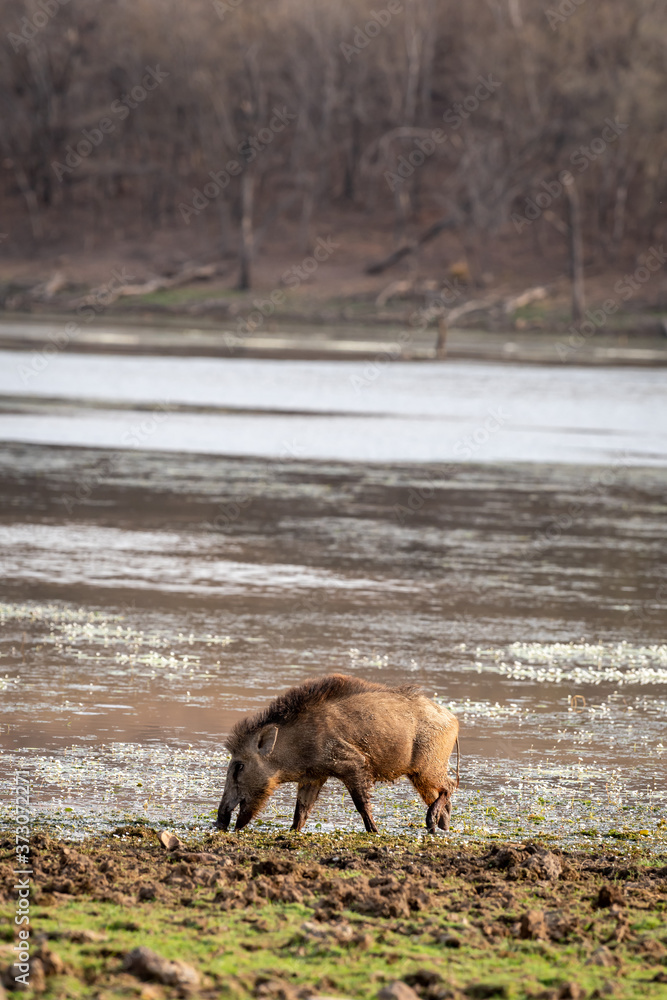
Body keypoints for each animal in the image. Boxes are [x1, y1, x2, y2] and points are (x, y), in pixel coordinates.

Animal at [216, 674, 459, 834]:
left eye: (239, 765)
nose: (219, 822)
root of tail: (454, 720)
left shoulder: (353, 764)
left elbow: (361, 804)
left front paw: (374, 831)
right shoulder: (313, 776)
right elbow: (301, 810)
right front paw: (292, 832)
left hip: (429, 766)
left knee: (450, 786)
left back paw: (430, 822)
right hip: (420, 774)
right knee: (445, 801)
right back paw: (439, 829)